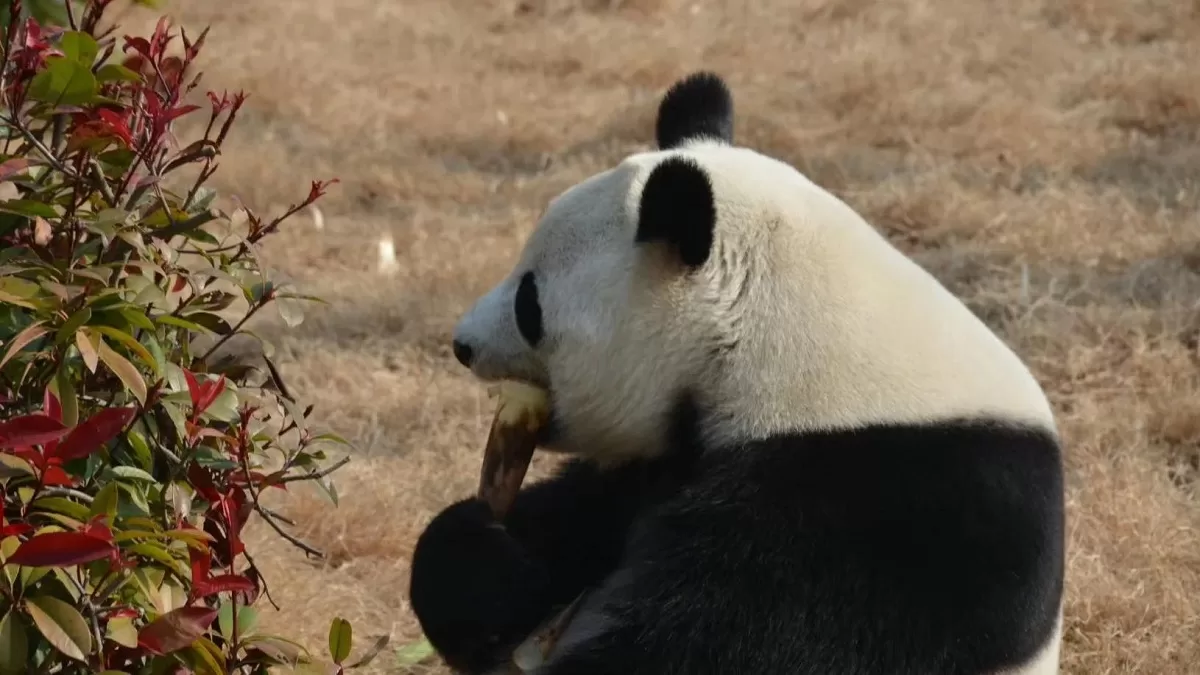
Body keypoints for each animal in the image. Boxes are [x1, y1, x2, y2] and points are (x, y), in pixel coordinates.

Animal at [409, 72, 1065, 675]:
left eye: (530, 303)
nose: (463, 344)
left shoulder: (881, 503)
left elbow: (722, 638)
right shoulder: (664, 458)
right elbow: (575, 517)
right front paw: (486, 557)